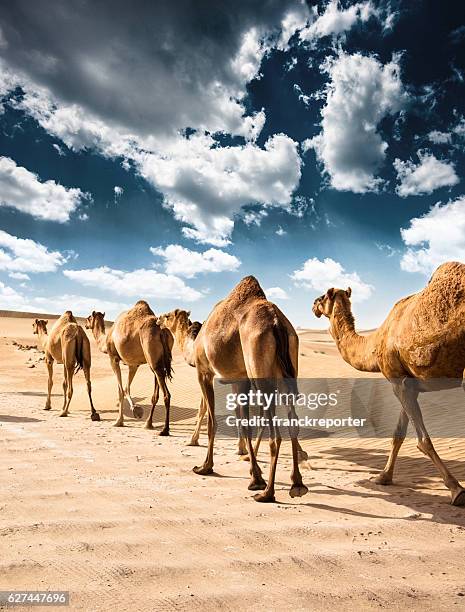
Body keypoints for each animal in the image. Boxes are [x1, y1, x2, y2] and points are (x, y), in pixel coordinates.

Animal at [84, 302, 173, 430]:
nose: (85, 325)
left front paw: (119, 421)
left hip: (151, 353)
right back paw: (148, 423)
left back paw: (164, 430)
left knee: (167, 394)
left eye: (88, 318)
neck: (105, 340)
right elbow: (126, 388)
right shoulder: (133, 365)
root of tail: (161, 331)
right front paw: (135, 410)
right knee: (157, 389)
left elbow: (120, 390)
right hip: (157, 361)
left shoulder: (113, 359)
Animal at [163, 276, 308, 502]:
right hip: (288, 369)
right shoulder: (239, 380)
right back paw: (297, 483)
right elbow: (243, 422)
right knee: (292, 419)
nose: (157, 319)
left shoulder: (204, 373)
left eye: (168, 315)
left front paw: (205, 466)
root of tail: (276, 323)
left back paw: (267, 493)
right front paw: (254, 474)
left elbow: (211, 420)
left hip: (259, 367)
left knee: (275, 433)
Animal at [310, 260, 464, 504]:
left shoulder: (398, 382)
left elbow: (422, 440)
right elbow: (397, 434)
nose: (313, 304)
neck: (375, 342)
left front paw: (456, 490)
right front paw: (383, 477)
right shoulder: (408, 384)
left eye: (323, 296)